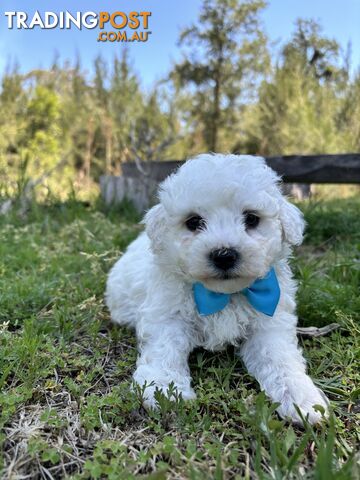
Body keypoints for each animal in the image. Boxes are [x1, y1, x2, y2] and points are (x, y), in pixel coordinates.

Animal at [105, 154, 330, 424]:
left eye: (251, 218)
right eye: (193, 222)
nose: (224, 255)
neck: (223, 295)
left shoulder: (270, 323)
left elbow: (280, 358)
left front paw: (301, 397)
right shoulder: (166, 315)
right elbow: (164, 350)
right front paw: (163, 388)